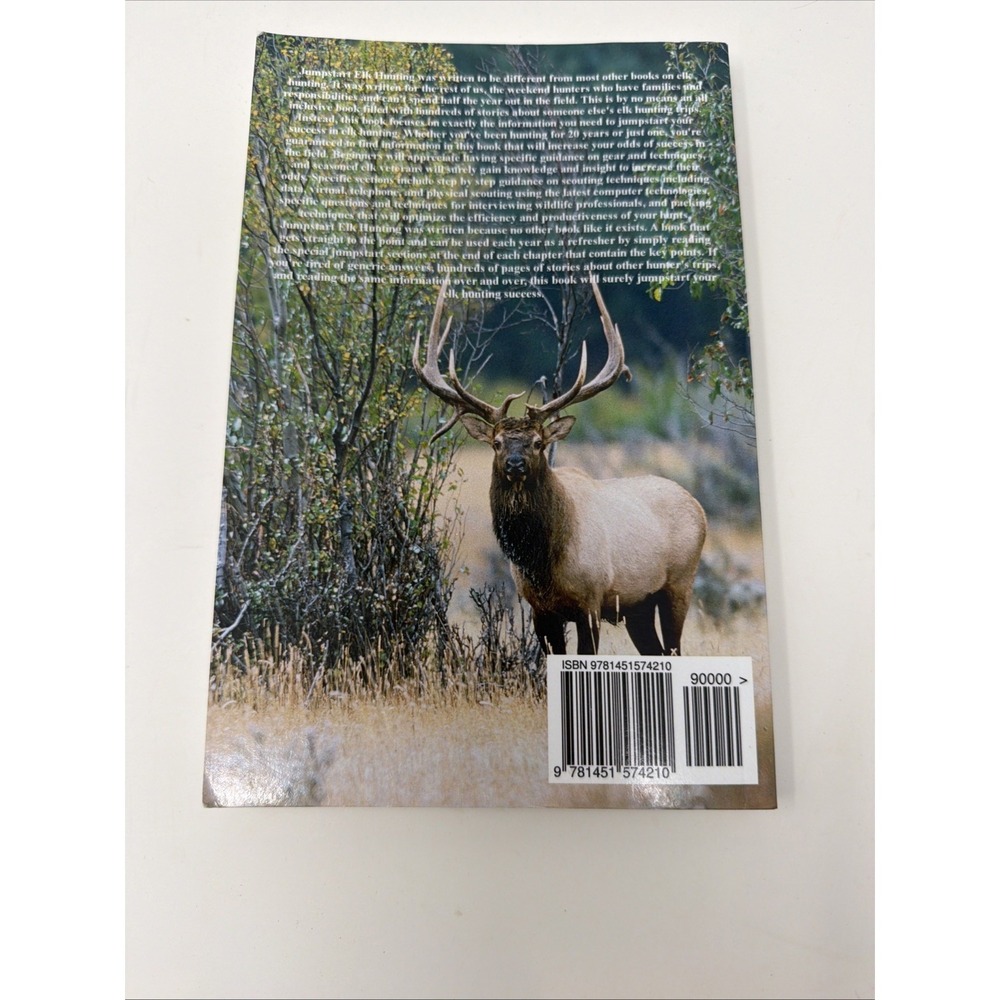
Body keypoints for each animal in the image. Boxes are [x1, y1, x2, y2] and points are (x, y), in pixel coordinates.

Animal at [413, 275, 707, 657]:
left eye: (539, 442)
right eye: (496, 443)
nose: (516, 463)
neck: (542, 563)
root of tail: (698, 507)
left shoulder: (591, 600)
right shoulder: (539, 610)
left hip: (679, 583)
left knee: (673, 648)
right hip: (638, 606)